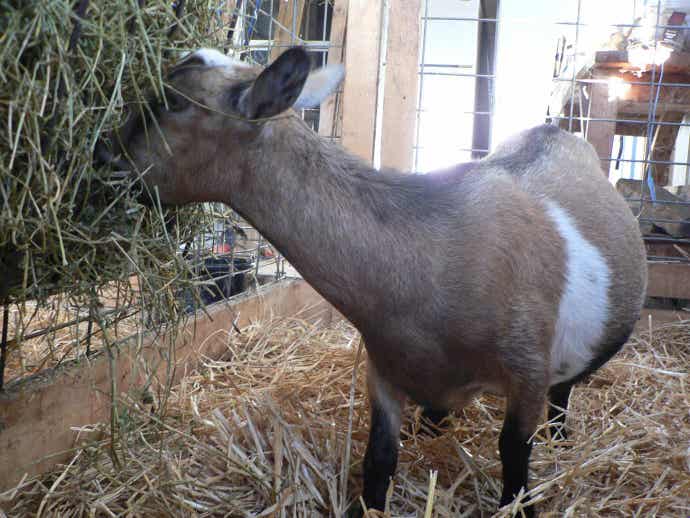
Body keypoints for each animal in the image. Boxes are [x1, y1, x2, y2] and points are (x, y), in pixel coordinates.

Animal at [99, 46, 648, 516]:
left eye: (171, 104)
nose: (103, 163)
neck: (431, 257)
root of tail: (556, 132)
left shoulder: (527, 375)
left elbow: (514, 462)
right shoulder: (383, 369)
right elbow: (379, 460)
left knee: (564, 392)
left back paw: (559, 436)